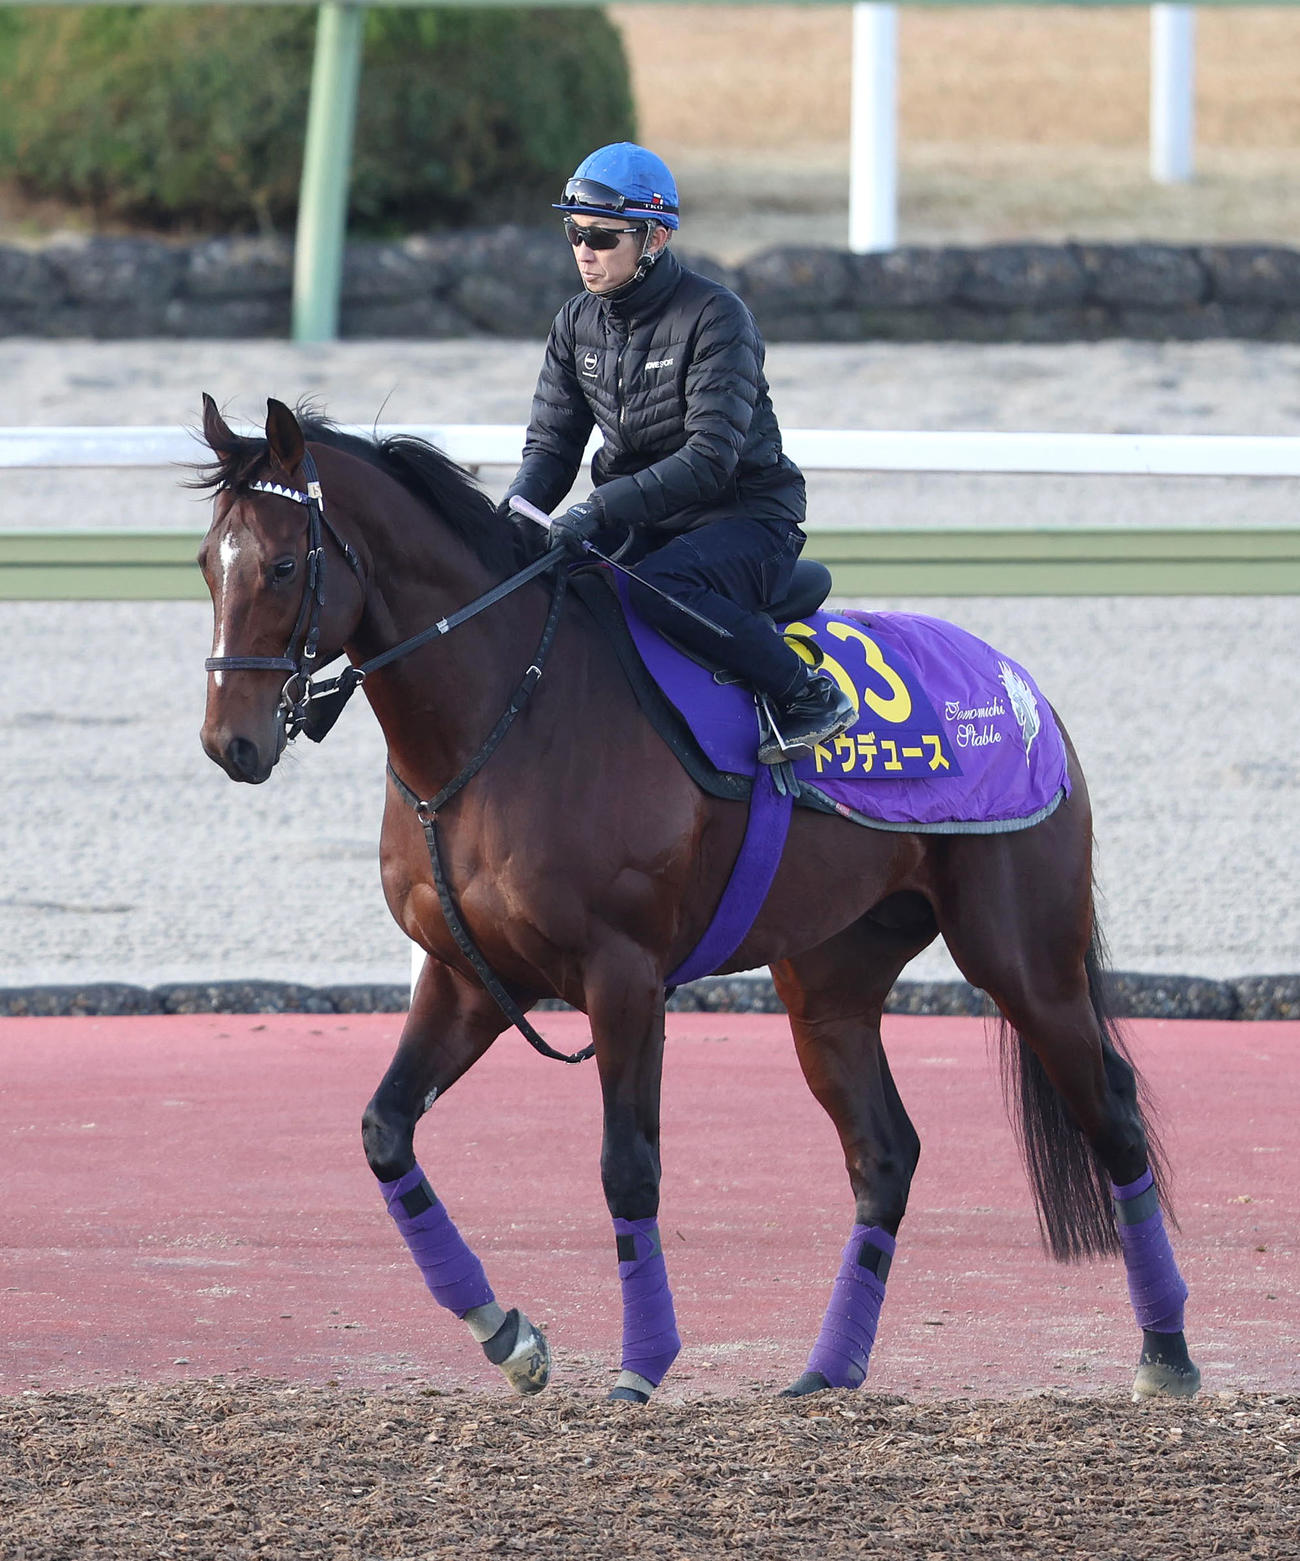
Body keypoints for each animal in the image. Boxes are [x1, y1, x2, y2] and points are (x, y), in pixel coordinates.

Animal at [195, 395, 1199, 1404]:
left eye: (283, 564)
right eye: (207, 561)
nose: (227, 742)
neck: (508, 713)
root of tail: (1025, 692)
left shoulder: (625, 976)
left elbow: (628, 1169)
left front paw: (641, 1365)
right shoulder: (467, 977)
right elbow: (386, 1131)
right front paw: (509, 1334)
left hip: (1023, 959)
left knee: (1112, 1114)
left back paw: (1166, 1353)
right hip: (830, 983)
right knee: (885, 1153)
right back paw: (827, 1369)